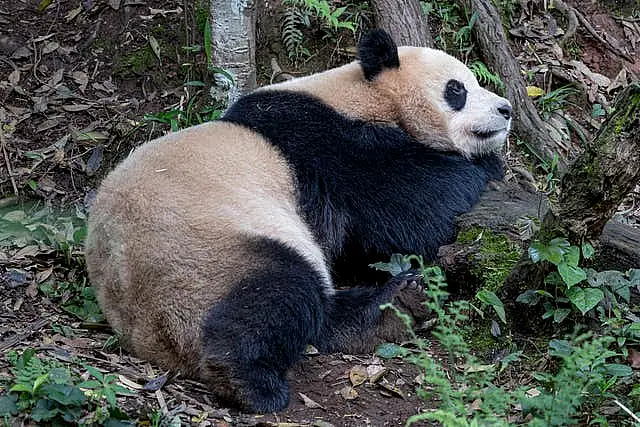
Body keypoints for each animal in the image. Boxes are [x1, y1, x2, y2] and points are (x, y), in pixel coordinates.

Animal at [86, 29, 510, 414]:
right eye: (457, 89)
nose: (505, 109)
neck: (362, 95)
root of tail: (151, 337)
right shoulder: (323, 141)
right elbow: (414, 201)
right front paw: (489, 167)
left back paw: (401, 303)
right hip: (201, 254)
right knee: (281, 293)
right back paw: (248, 381)